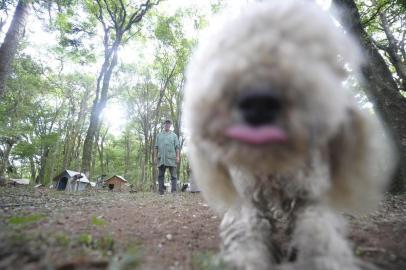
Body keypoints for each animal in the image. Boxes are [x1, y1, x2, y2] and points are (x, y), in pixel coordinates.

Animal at [184, 0, 396, 270]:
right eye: (227, 48)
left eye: (310, 50)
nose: (258, 102)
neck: (273, 168)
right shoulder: (247, 201)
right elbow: (246, 238)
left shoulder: (310, 199)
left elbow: (319, 237)